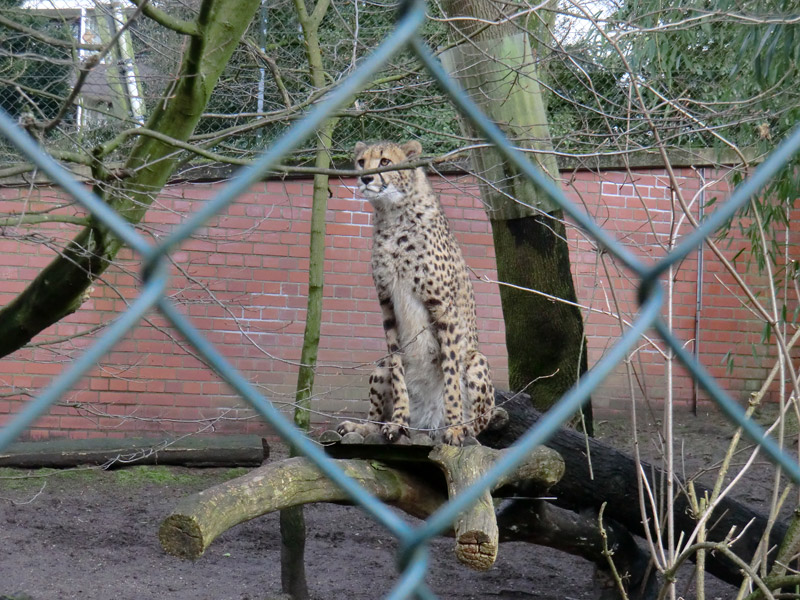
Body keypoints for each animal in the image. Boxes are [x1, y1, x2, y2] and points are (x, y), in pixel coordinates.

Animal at [338, 141, 494, 446]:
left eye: (385, 162)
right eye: (361, 162)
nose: (366, 178)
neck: (392, 215)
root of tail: (426, 426)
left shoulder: (443, 307)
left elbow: (450, 373)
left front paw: (454, 427)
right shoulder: (386, 304)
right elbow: (398, 369)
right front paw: (399, 421)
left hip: (477, 360)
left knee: (479, 425)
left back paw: (462, 428)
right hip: (380, 366)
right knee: (376, 415)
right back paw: (361, 428)